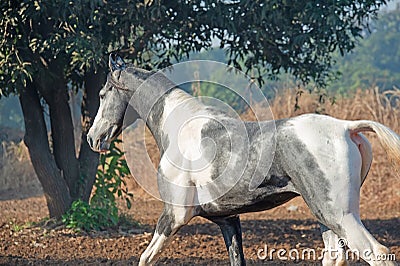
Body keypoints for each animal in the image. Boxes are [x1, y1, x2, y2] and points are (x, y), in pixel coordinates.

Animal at [89, 54, 398, 266]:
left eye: (102, 94)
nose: (93, 138)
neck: (178, 128)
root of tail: (347, 127)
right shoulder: (228, 220)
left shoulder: (173, 216)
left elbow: (146, 257)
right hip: (327, 218)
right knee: (335, 257)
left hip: (340, 215)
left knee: (378, 253)